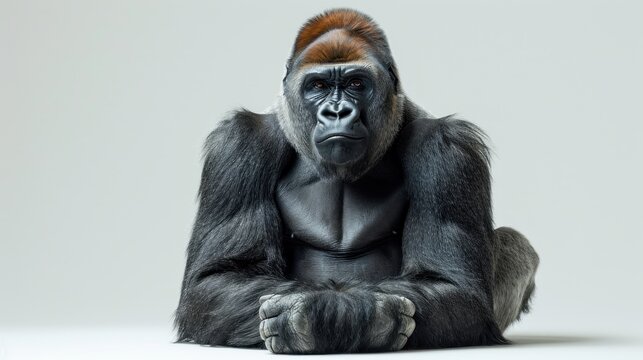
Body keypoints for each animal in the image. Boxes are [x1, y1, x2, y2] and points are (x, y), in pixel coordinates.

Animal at [174, 8, 540, 354]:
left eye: (356, 84)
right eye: (318, 86)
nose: (337, 112)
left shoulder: (448, 149)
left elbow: (453, 285)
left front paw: (334, 314)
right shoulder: (239, 144)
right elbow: (217, 279)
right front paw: (322, 317)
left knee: (513, 242)